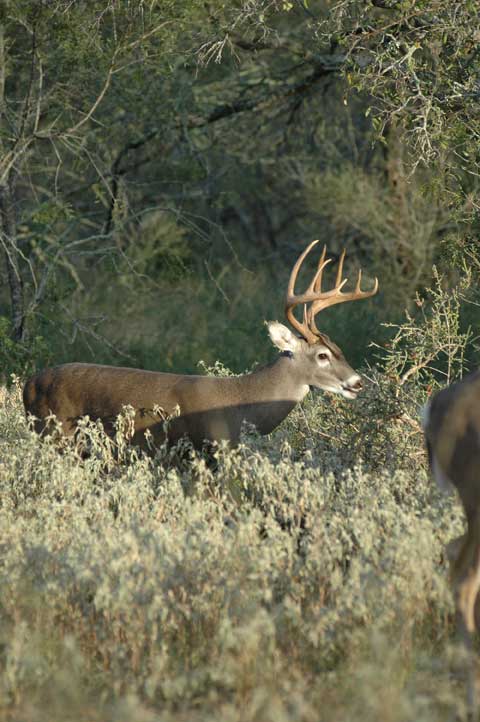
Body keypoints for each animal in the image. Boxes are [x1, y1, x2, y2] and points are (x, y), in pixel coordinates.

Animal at [23, 245, 378, 452]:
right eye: (322, 355)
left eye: (340, 348)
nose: (358, 382)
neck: (242, 404)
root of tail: (28, 384)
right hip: (55, 432)